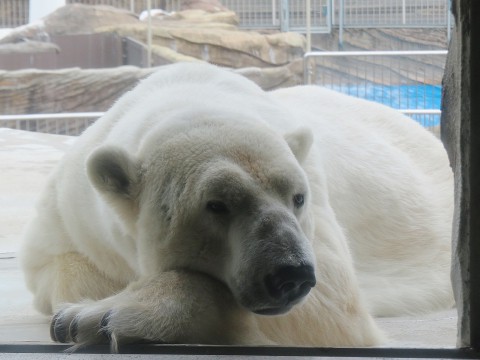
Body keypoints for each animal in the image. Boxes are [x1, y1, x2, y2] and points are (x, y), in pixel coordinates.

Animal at [19, 62, 454, 348]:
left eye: (298, 197)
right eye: (217, 205)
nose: (291, 275)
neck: (188, 95)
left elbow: (328, 311)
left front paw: (98, 317)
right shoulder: (75, 205)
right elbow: (55, 264)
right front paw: (81, 307)